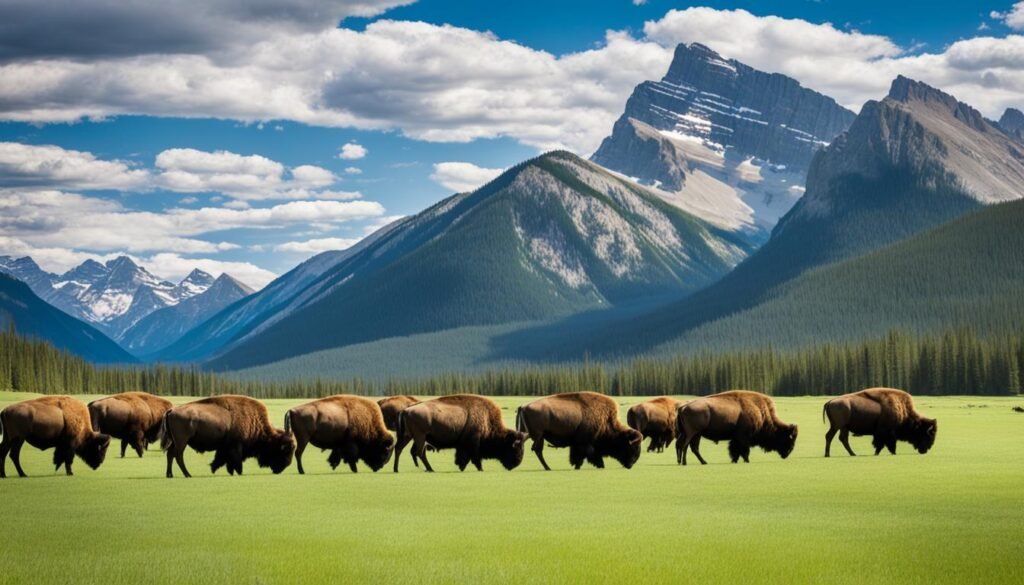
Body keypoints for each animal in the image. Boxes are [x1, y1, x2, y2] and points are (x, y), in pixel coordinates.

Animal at [159, 395, 294, 477]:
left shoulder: (224, 448)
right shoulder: (236, 447)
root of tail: (172, 410)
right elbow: (236, 463)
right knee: (178, 456)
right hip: (182, 441)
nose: (283, 467)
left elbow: (221, 461)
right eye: (286, 449)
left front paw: (216, 470)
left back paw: (170, 475)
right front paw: (238, 473)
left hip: (174, 441)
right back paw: (188, 474)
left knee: (170, 455)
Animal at [389, 395, 524, 473]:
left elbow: (463, 456)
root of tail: (405, 410)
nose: (516, 463)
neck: (486, 419)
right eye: (514, 447)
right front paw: (480, 468)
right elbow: (474, 456)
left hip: (407, 436)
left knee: (399, 449)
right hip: (419, 436)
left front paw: (461, 467)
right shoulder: (474, 442)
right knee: (419, 452)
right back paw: (430, 469)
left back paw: (396, 469)